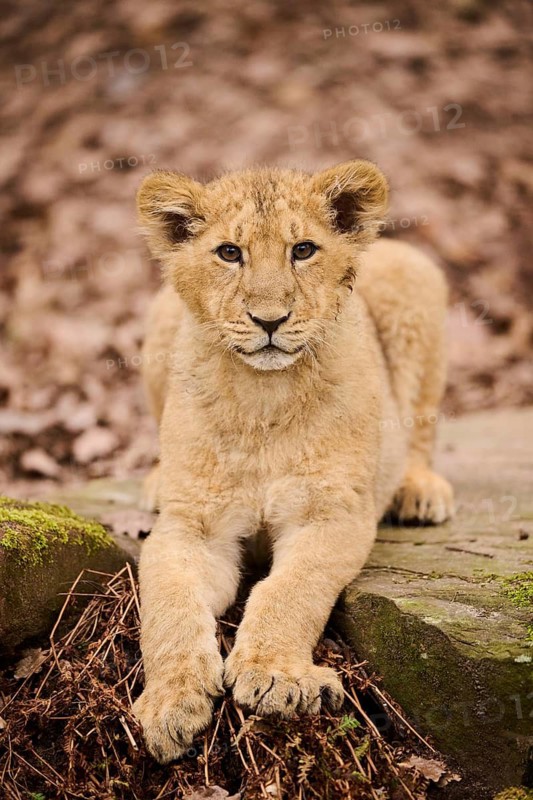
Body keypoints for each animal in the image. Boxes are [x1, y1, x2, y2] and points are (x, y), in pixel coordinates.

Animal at [132, 160, 454, 763]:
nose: (269, 320)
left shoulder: (331, 514)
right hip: (160, 310)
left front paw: (276, 676)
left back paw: (420, 491)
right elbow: (167, 609)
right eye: (229, 253)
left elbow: (289, 592)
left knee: (420, 426)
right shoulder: (191, 528)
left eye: (302, 250)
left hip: (412, 275)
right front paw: (169, 702)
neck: (263, 396)